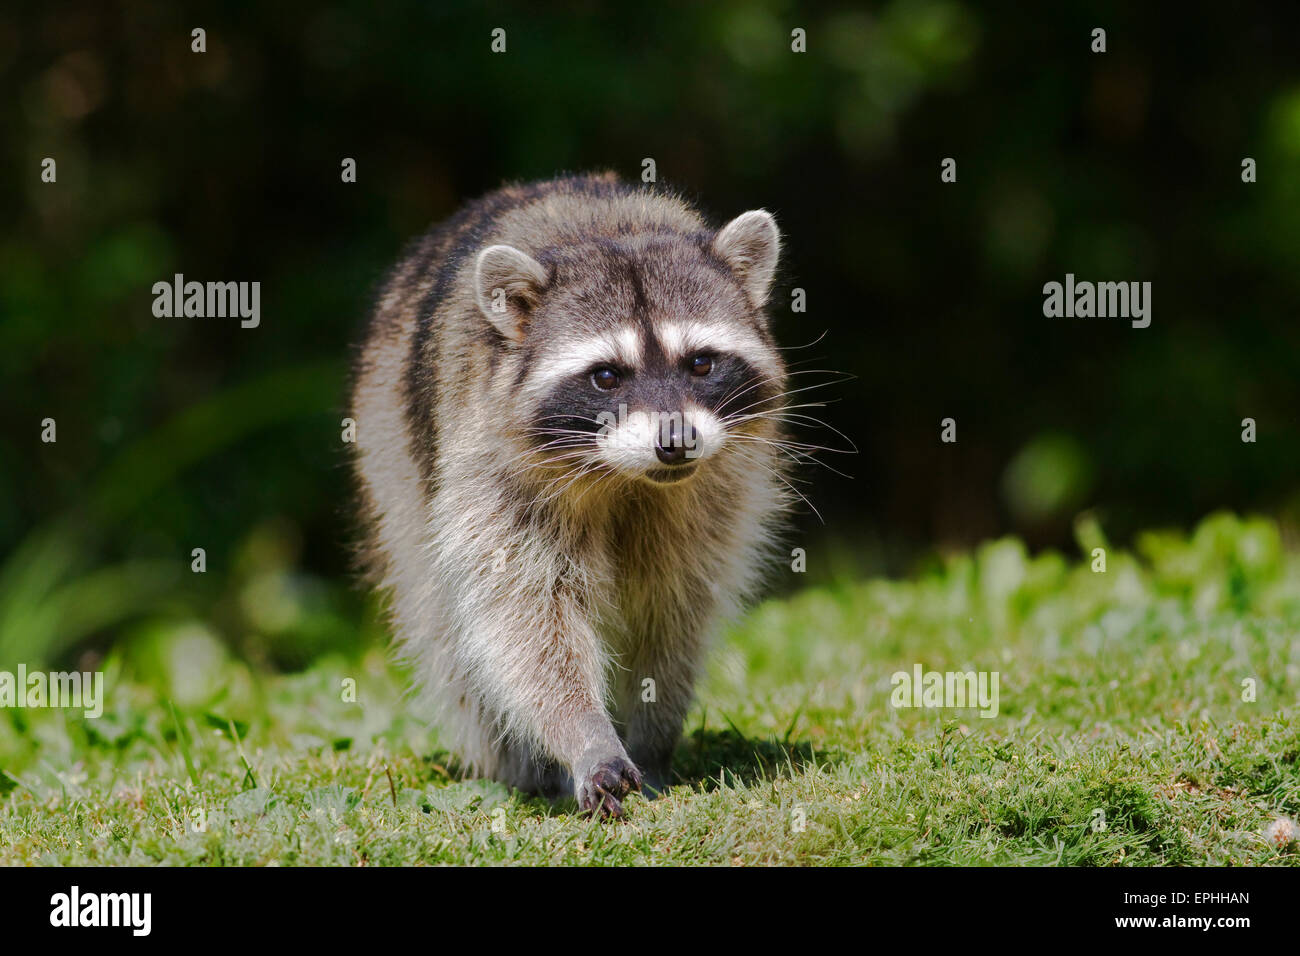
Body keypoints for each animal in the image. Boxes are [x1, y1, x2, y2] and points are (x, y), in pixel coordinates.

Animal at [351, 171, 785, 816]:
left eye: (702, 363)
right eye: (606, 376)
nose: (676, 443)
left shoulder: (711, 492)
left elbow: (675, 608)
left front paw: (654, 733)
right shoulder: (491, 469)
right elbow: (527, 618)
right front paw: (585, 738)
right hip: (391, 444)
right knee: (443, 622)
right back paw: (518, 761)